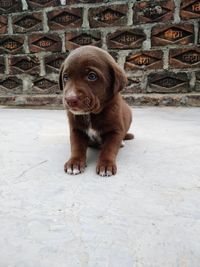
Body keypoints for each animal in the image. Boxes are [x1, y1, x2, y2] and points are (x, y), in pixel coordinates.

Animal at [59, 45, 134, 177]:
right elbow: (76, 146)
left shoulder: (115, 131)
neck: (90, 114)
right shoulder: (76, 129)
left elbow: (109, 148)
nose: (70, 99)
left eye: (92, 76)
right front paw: (74, 163)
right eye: (66, 77)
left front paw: (106, 165)